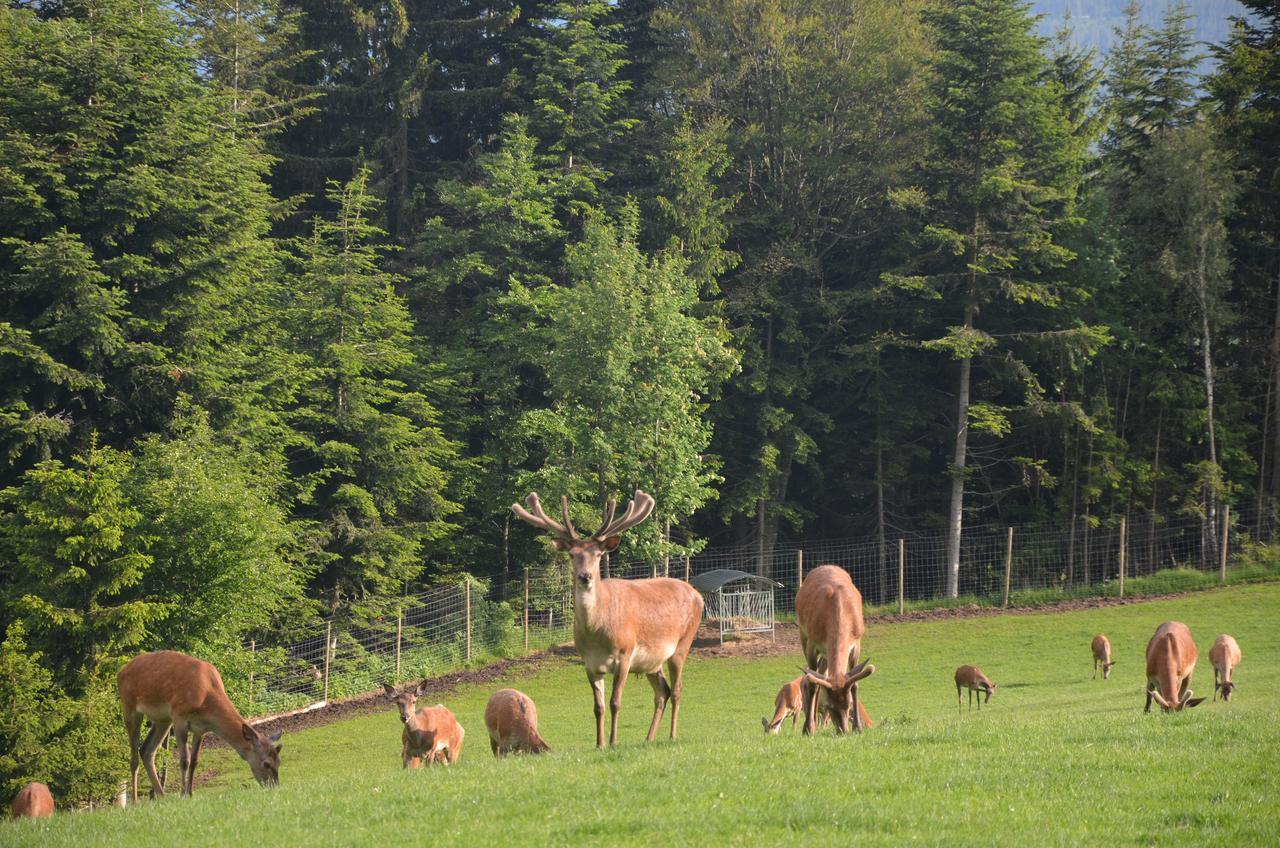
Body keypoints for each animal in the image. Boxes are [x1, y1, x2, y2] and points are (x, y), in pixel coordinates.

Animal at [117, 650, 282, 804]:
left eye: (279, 762)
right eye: (266, 764)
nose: (274, 787)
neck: (206, 697)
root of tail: (120, 672)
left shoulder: (200, 729)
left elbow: (195, 760)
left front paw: (190, 794)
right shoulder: (179, 717)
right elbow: (185, 760)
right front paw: (182, 794)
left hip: (162, 719)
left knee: (146, 750)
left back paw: (162, 796)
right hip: (129, 706)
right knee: (134, 757)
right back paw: (135, 801)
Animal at [512, 491, 706, 753]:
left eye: (598, 554)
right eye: (572, 555)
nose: (585, 576)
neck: (597, 634)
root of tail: (698, 594)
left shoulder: (625, 654)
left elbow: (615, 702)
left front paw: (613, 742)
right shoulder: (589, 663)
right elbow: (598, 707)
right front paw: (599, 743)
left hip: (683, 643)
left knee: (676, 690)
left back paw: (672, 735)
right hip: (652, 663)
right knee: (662, 692)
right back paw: (649, 738)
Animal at [793, 563, 875, 737]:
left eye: (848, 704)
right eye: (829, 706)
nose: (843, 731)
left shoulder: (856, 643)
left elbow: (855, 682)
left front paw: (858, 727)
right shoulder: (812, 643)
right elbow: (813, 683)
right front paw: (808, 729)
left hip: (826, 654)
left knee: (821, 673)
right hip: (803, 634)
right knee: (812, 678)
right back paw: (811, 724)